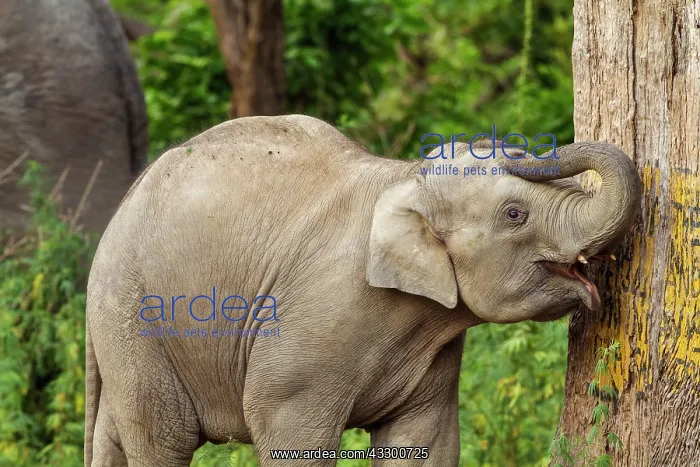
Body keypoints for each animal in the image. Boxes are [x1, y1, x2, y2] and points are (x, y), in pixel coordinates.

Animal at [84, 114, 642, 466]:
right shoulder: (310, 326)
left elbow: (423, 443)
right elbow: (287, 433)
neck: (406, 178)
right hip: (134, 317)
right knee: (162, 439)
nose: (516, 147)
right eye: (514, 215)